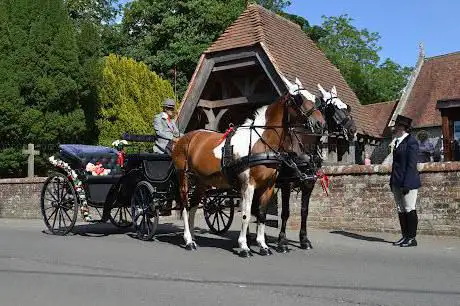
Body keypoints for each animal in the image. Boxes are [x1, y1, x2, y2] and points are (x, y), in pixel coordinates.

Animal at [172, 76, 328, 256]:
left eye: (315, 99)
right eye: (299, 99)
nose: (320, 123)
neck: (261, 142)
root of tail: (185, 138)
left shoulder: (269, 186)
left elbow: (262, 214)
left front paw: (263, 245)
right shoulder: (249, 185)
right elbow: (246, 214)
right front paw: (244, 246)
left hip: (202, 181)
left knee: (193, 205)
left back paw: (192, 236)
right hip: (183, 176)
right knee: (185, 205)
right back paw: (188, 240)